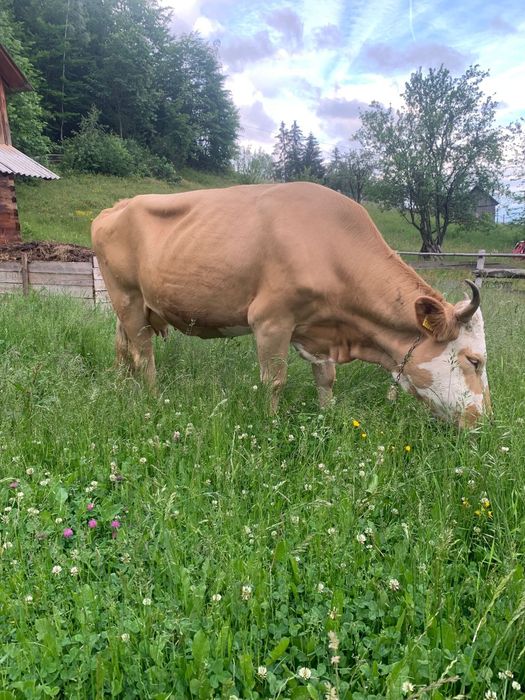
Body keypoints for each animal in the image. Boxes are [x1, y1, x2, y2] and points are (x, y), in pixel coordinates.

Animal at [91, 182, 491, 428]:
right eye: (475, 360)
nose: (485, 420)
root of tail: (118, 206)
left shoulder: (320, 330)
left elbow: (326, 379)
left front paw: (328, 417)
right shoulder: (271, 320)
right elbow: (274, 382)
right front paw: (269, 426)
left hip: (130, 305)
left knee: (122, 347)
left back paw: (120, 387)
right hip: (127, 297)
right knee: (144, 354)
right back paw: (153, 399)